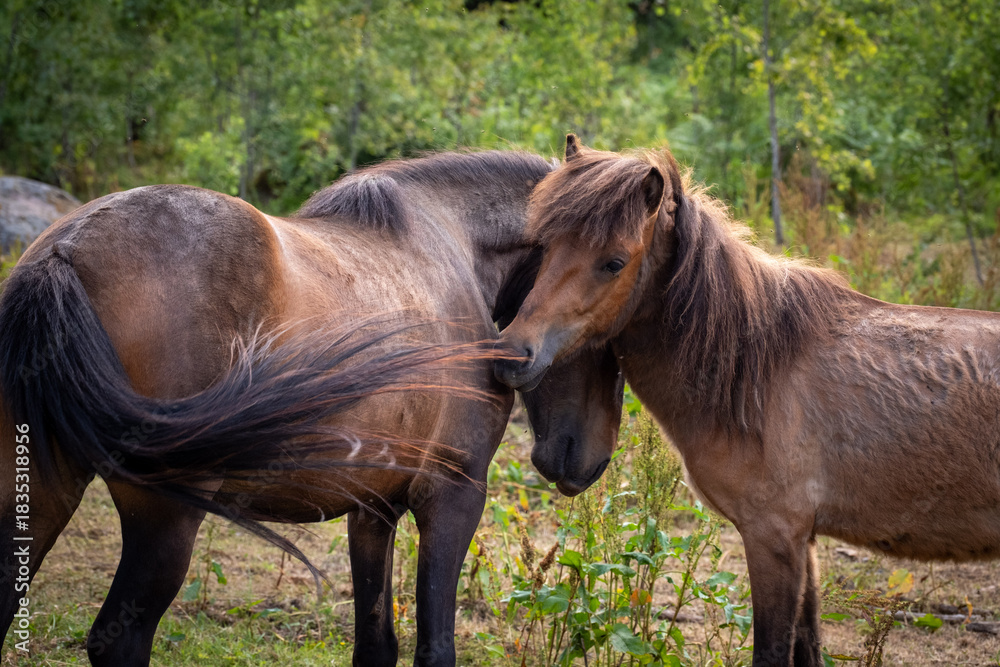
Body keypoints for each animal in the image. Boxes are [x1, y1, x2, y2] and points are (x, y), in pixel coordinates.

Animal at [0, 149, 625, 667]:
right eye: (616, 339)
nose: (587, 463)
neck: (456, 251)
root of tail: (66, 249)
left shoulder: (372, 508)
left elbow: (376, 646)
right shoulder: (453, 494)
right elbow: (434, 649)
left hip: (39, 490)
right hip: (164, 514)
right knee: (120, 642)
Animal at [494, 134, 1000, 667]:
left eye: (614, 262)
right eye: (544, 249)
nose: (512, 354)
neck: (758, 372)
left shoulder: (773, 538)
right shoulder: (804, 544)